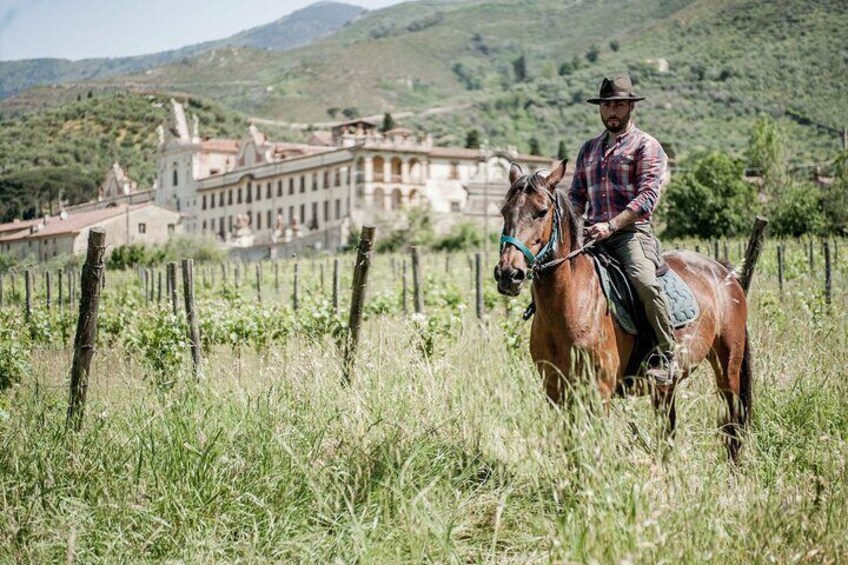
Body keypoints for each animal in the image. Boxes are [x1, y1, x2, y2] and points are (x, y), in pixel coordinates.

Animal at [494, 160, 752, 458]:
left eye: (541, 212)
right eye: (504, 211)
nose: (508, 274)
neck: (571, 305)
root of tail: (724, 272)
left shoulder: (599, 393)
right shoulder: (557, 392)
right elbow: (573, 451)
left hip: (728, 369)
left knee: (732, 426)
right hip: (665, 387)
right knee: (668, 432)